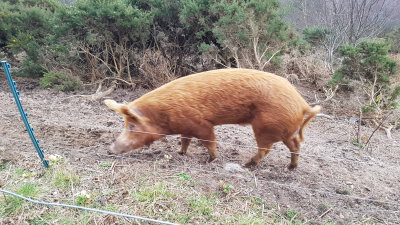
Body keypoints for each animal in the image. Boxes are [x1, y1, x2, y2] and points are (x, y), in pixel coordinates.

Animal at [104, 68, 322, 169]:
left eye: (132, 126)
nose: (110, 149)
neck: (163, 116)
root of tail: (302, 103)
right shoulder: (185, 127)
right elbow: (185, 140)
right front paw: (180, 153)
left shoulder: (200, 124)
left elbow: (209, 140)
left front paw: (210, 160)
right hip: (285, 129)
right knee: (295, 144)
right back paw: (291, 168)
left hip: (265, 126)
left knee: (266, 148)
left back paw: (247, 164)